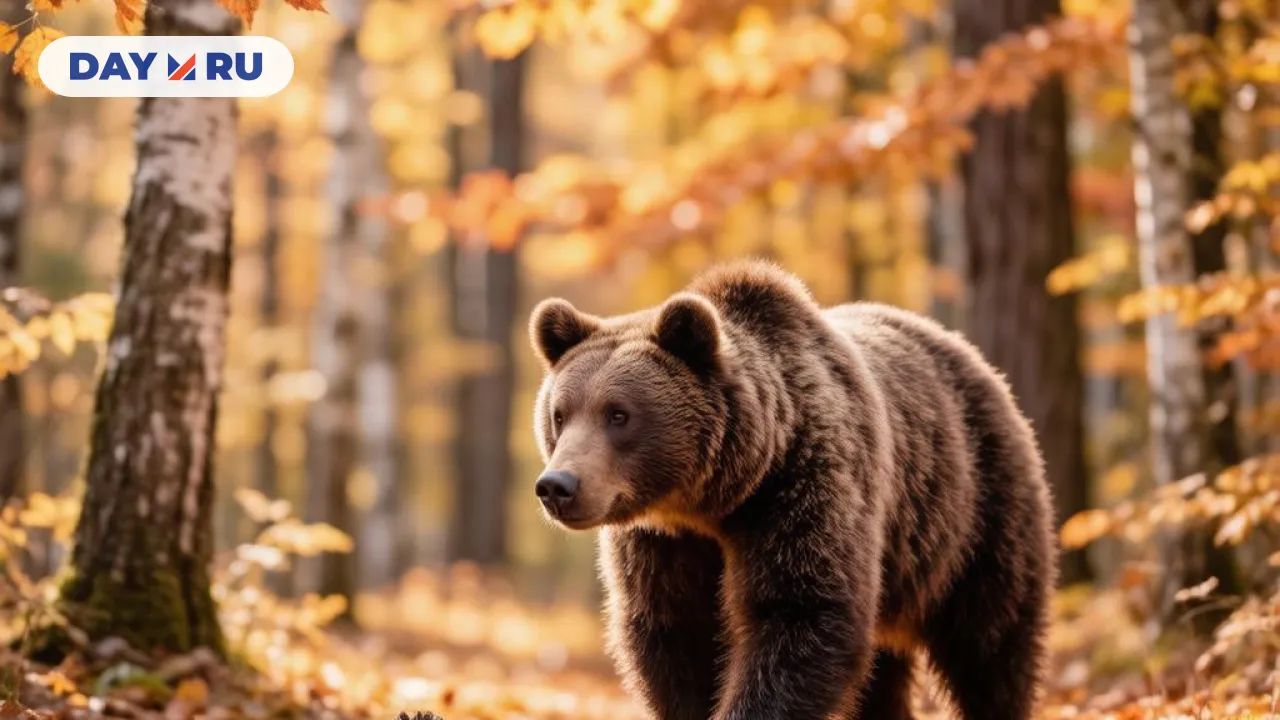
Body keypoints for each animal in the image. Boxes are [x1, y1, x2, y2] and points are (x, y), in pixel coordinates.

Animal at [528, 260, 1056, 720]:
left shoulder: (804, 491)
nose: (557, 485)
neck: (714, 500)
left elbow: (799, 616)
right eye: (560, 414)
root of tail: (974, 357)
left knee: (992, 646)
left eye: (618, 414)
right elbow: (676, 636)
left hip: (975, 514)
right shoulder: (664, 543)